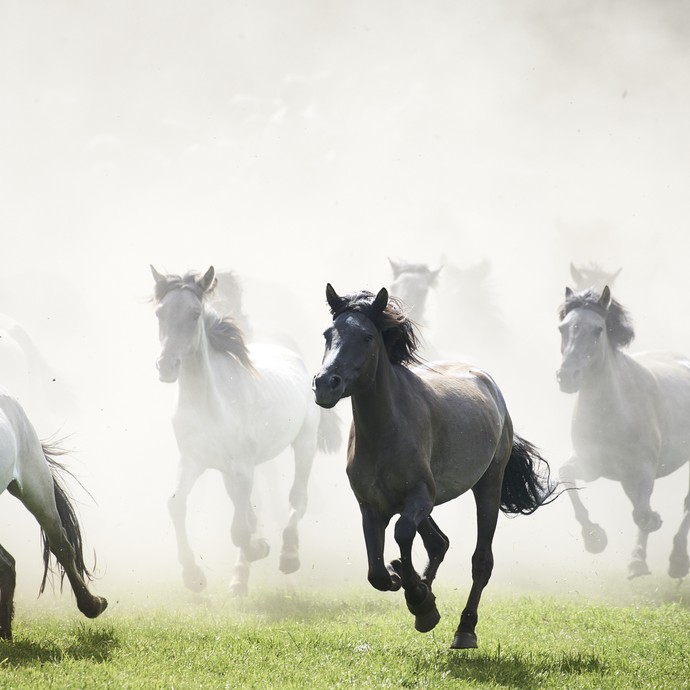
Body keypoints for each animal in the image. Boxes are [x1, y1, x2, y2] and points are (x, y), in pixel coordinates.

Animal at [153, 266, 342, 592]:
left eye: (194, 313)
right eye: (159, 312)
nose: (166, 365)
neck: (210, 402)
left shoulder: (241, 467)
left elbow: (241, 530)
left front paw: (260, 548)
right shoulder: (194, 461)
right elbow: (176, 505)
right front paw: (193, 576)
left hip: (303, 443)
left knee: (297, 499)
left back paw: (287, 555)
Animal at [312, 284, 552, 644]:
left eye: (367, 337)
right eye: (328, 334)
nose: (326, 383)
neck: (386, 431)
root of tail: (487, 381)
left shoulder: (420, 497)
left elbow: (402, 534)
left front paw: (418, 598)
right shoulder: (371, 506)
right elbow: (376, 572)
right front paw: (412, 590)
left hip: (488, 485)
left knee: (481, 561)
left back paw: (464, 629)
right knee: (438, 542)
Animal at [552, 282, 688, 576]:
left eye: (598, 329)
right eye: (562, 328)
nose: (566, 377)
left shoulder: (644, 468)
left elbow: (642, 512)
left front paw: (655, 521)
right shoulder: (592, 466)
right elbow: (565, 475)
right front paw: (594, 538)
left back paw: (677, 560)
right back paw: (637, 561)